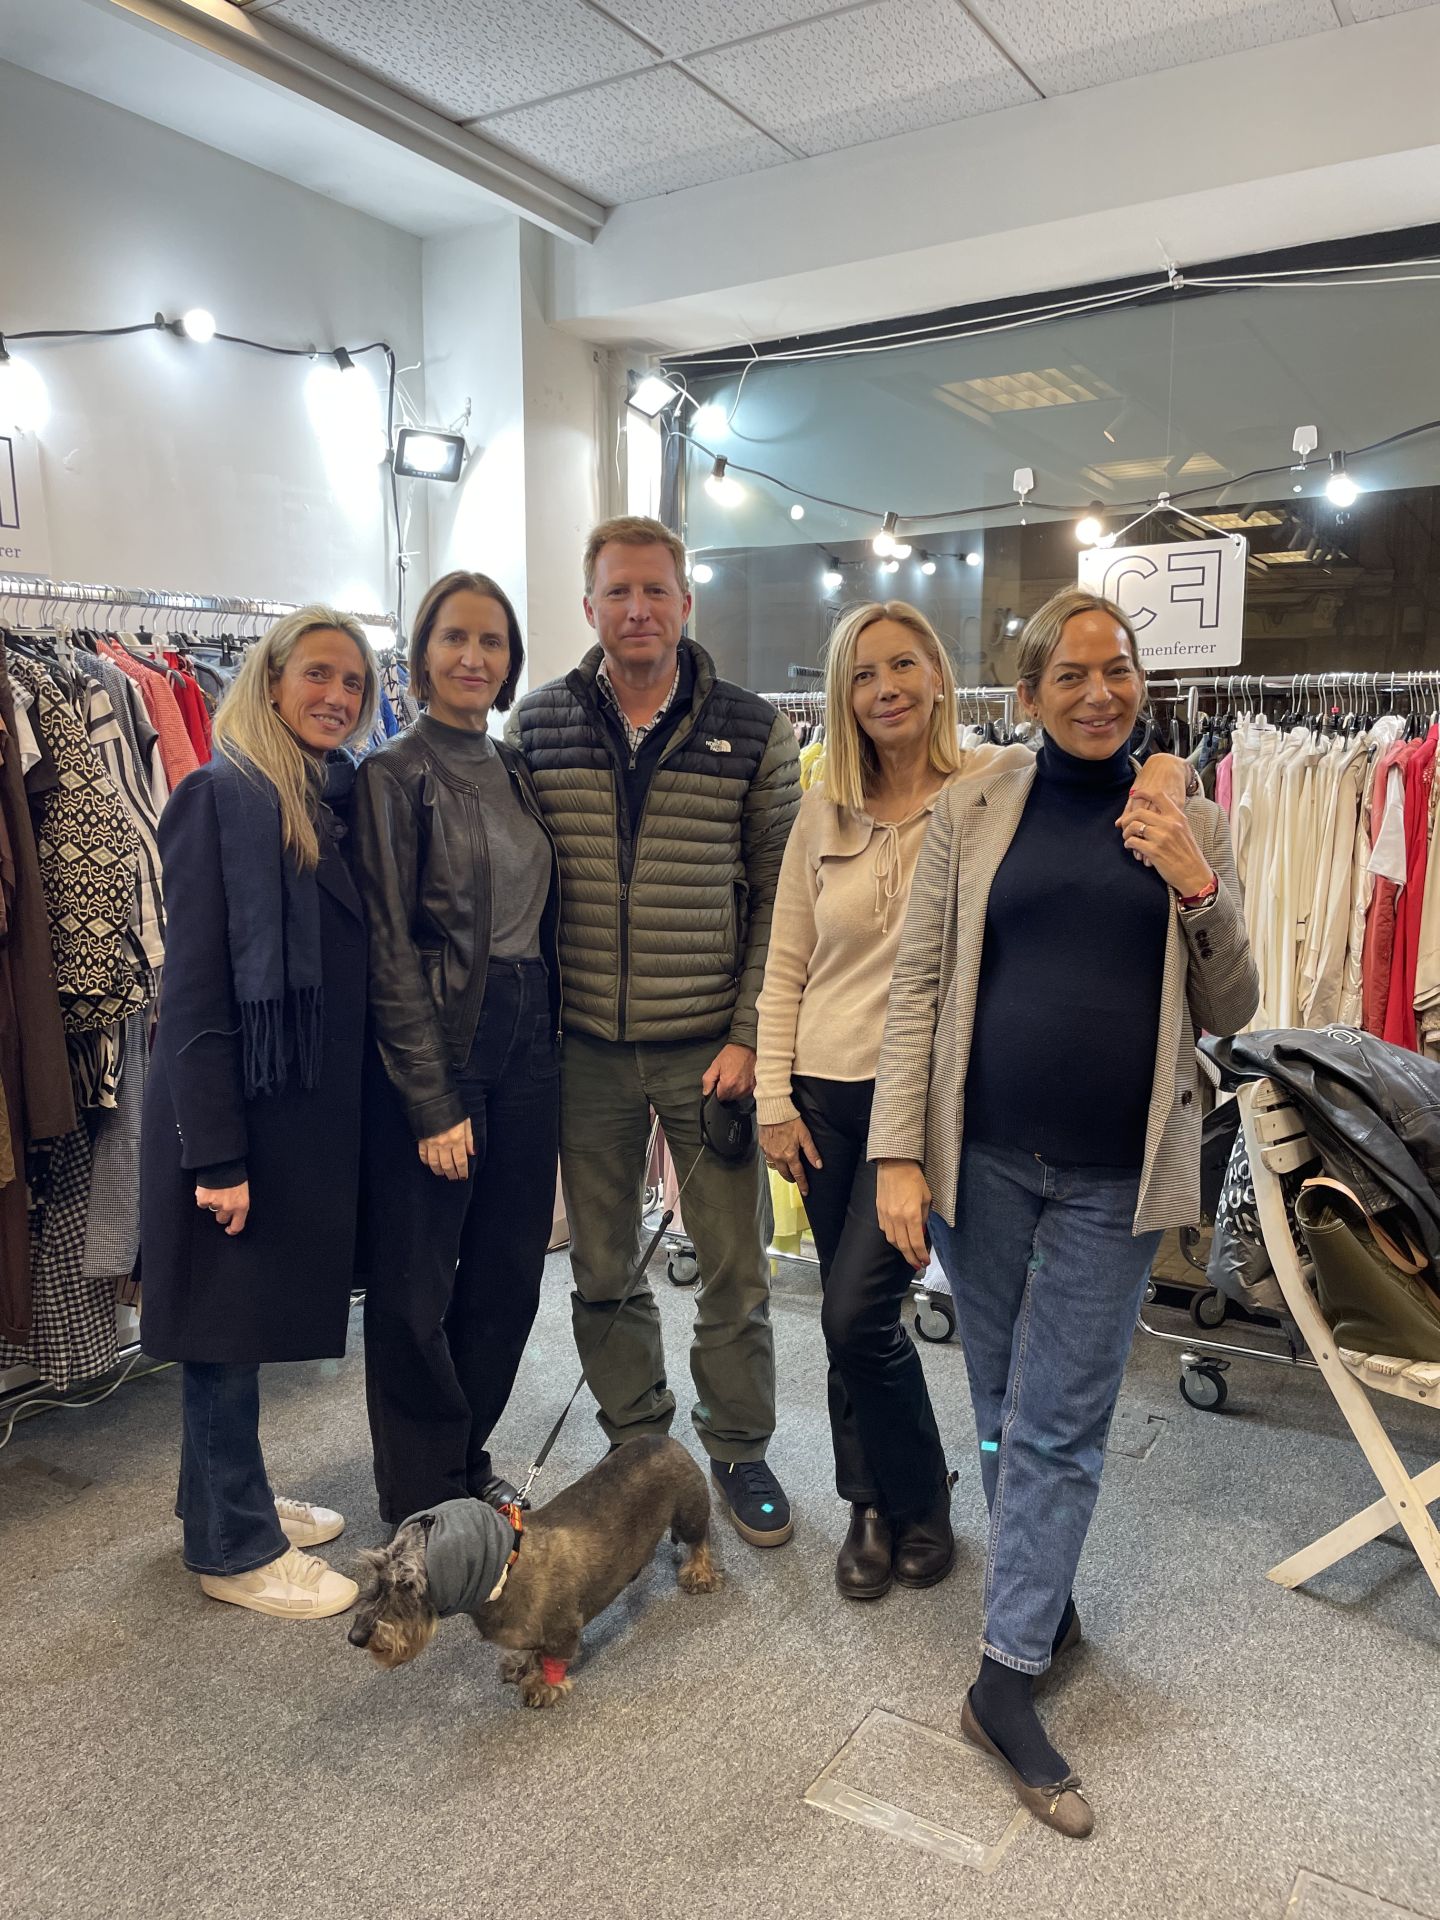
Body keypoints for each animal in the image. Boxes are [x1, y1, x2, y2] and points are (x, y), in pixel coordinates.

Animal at [345, 1436, 725, 1704]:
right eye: (377, 1572)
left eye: (408, 1584)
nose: (356, 1637)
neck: (505, 1571)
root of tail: (662, 1439)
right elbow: (528, 1649)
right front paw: (522, 1663)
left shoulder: (562, 1631)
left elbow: (554, 1661)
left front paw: (543, 1684)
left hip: (689, 1514)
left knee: (700, 1540)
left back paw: (700, 1572)